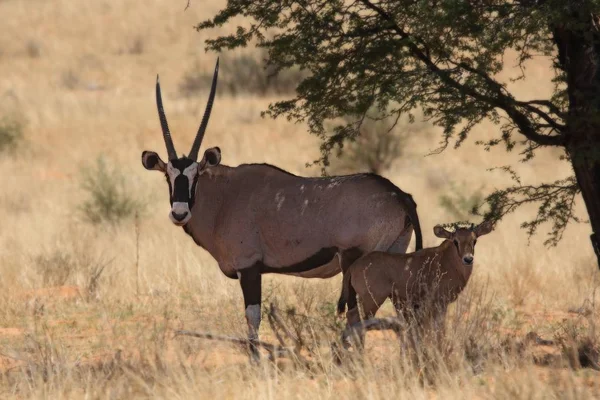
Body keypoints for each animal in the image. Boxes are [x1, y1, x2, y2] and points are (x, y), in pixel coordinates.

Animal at [141, 58, 422, 360]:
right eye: (168, 176)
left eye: (195, 176)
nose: (179, 213)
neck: (224, 198)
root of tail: (399, 194)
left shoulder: (249, 267)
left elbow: (252, 316)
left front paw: (255, 359)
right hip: (394, 255)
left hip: (356, 263)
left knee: (357, 315)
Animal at [340, 222, 494, 350]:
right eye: (455, 241)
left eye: (474, 240)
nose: (468, 259)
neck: (447, 259)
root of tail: (354, 266)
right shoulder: (440, 303)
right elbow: (439, 329)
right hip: (372, 300)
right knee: (358, 318)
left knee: (352, 316)